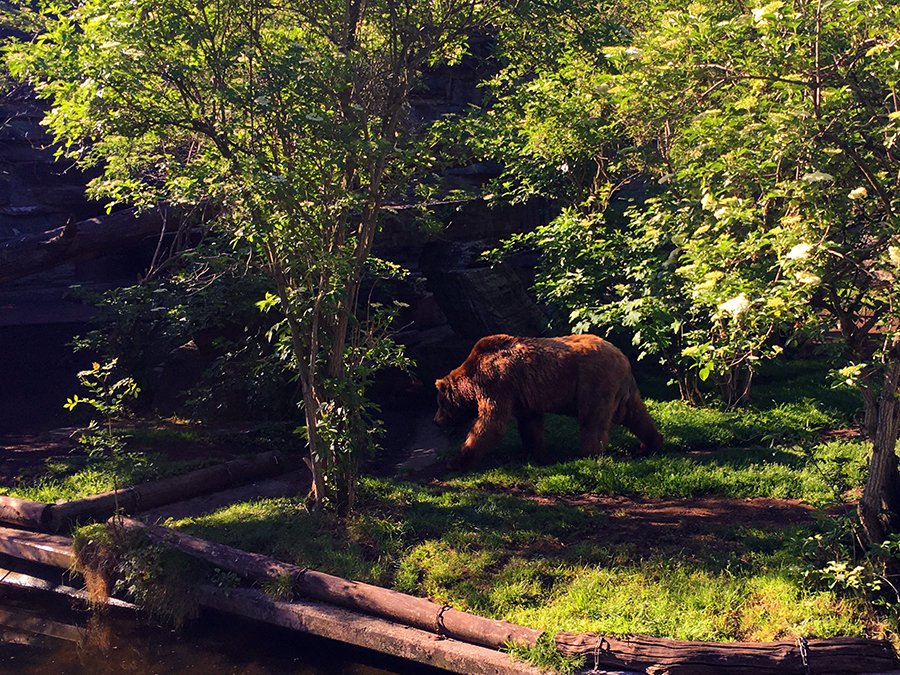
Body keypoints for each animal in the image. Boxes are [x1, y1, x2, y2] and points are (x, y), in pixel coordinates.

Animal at [432, 332, 664, 470]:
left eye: (440, 404)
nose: (436, 420)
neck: (472, 381)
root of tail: (622, 356)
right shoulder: (521, 396)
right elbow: (530, 424)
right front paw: (535, 454)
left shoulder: (497, 384)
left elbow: (491, 425)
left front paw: (456, 461)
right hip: (624, 390)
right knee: (636, 416)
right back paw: (649, 445)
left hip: (592, 382)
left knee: (592, 420)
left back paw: (588, 453)